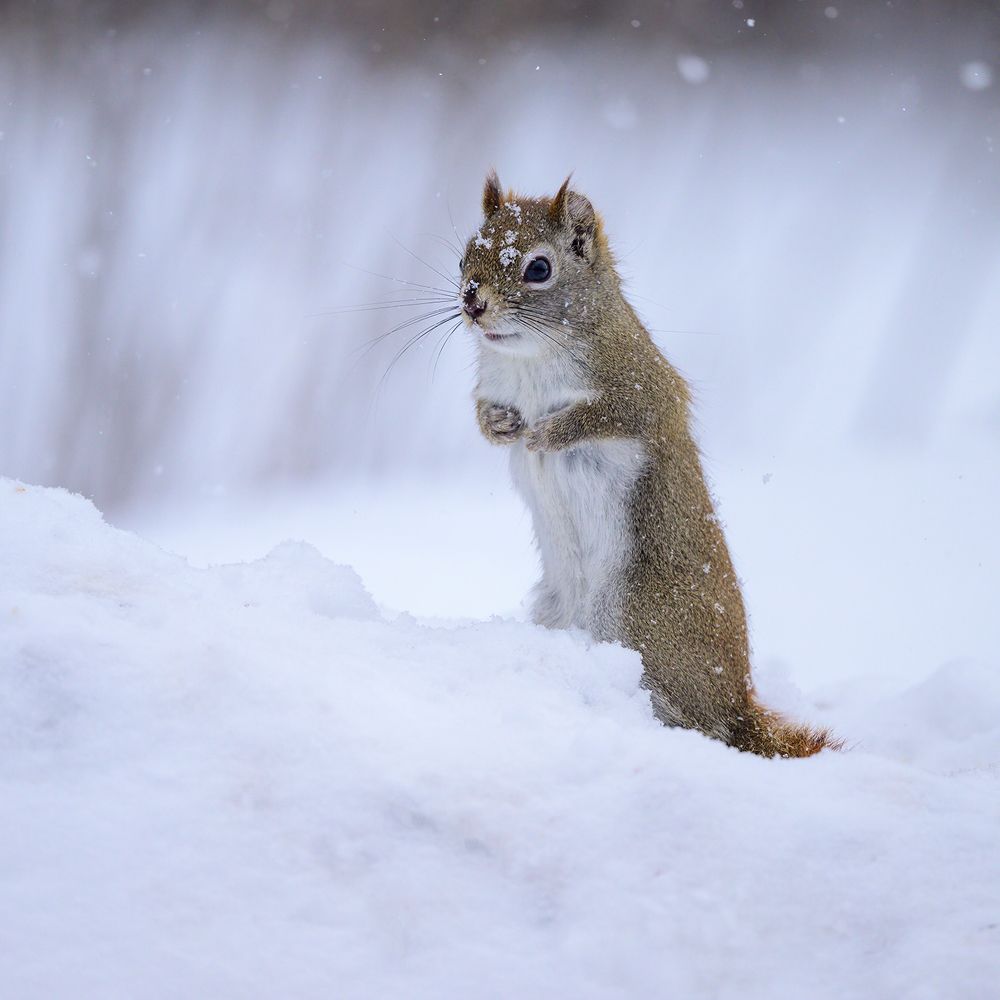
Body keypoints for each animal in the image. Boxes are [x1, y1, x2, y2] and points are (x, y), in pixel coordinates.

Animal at [461, 171, 839, 758]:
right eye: (463, 257)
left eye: (539, 268)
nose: (471, 302)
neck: (529, 361)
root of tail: (735, 707)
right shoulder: (497, 385)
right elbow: (485, 413)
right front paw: (500, 426)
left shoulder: (644, 388)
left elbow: (608, 415)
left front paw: (548, 434)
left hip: (640, 620)